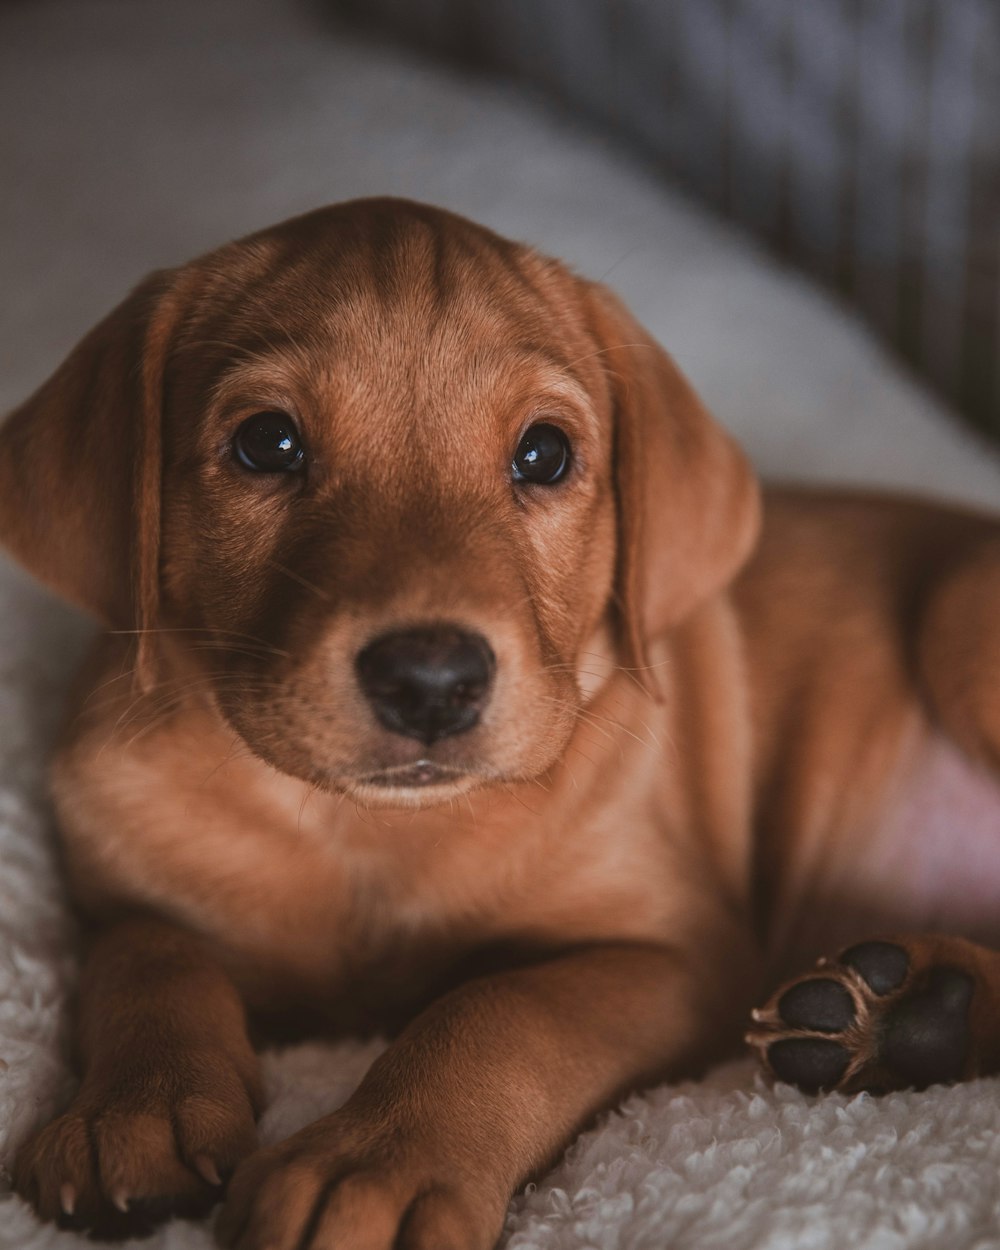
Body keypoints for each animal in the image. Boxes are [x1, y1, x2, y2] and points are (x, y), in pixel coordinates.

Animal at [5, 200, 1000, 1245]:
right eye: (266, 443)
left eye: (543, 454)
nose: (429, 679)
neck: (371, 835)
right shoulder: (126, 888)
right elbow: (143, 955)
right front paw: (133, 1107)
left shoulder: (675, 952)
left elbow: (498, 1012)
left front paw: (374, 1162)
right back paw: (919, 1011)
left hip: (965, 614)